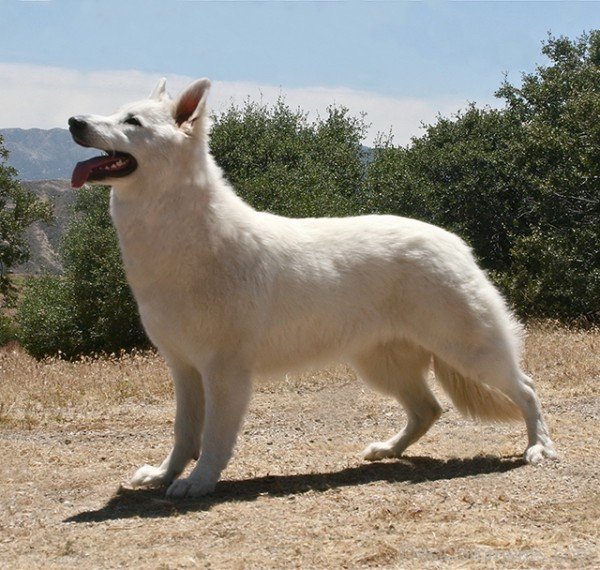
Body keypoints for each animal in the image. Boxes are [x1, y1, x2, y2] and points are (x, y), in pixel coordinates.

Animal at [68, 77, 556, 494]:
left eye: (133, 122)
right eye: (116, 112)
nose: (74, 121)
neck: (178, 236)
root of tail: (454, 242)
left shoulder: (224, 372)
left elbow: (213, 439)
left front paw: (199, 481)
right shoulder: (184, 369)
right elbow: (183, 433)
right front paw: (164, 474)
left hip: (470, 352)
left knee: (527, 389)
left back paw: (538, 448)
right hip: (381, 366)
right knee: (428, 409)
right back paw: (387, 450)